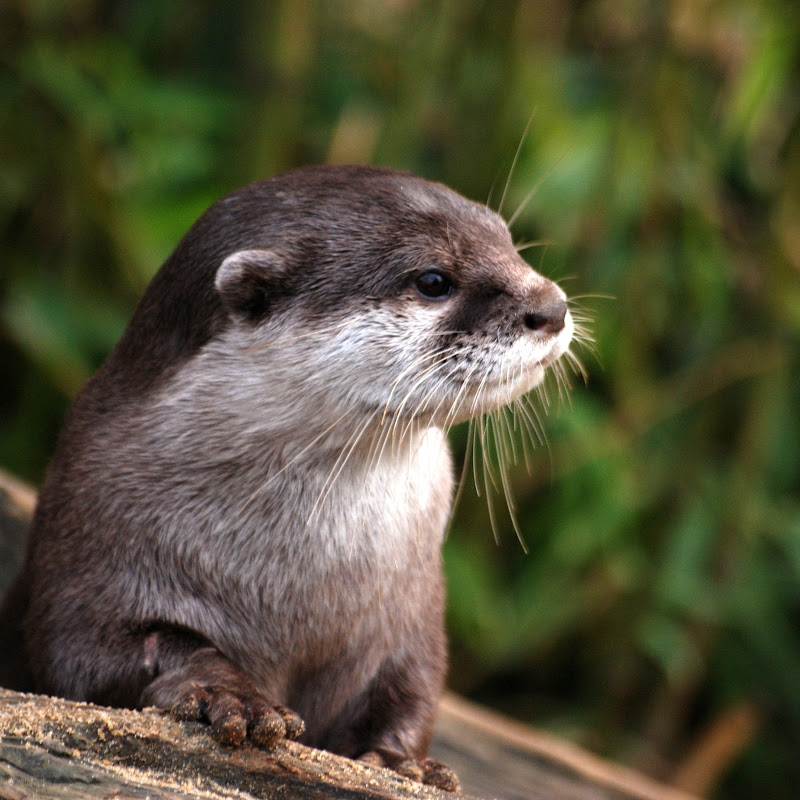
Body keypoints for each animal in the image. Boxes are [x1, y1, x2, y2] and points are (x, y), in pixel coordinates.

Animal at [0, 165, 573, 791]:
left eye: (508, 242)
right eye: (433, 280)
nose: (552, 306)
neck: (298, 587)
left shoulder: (414, 612)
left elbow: (413, 688)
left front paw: (401, 761)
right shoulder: (87, 546)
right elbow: (96, 655)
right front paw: (228, 694)